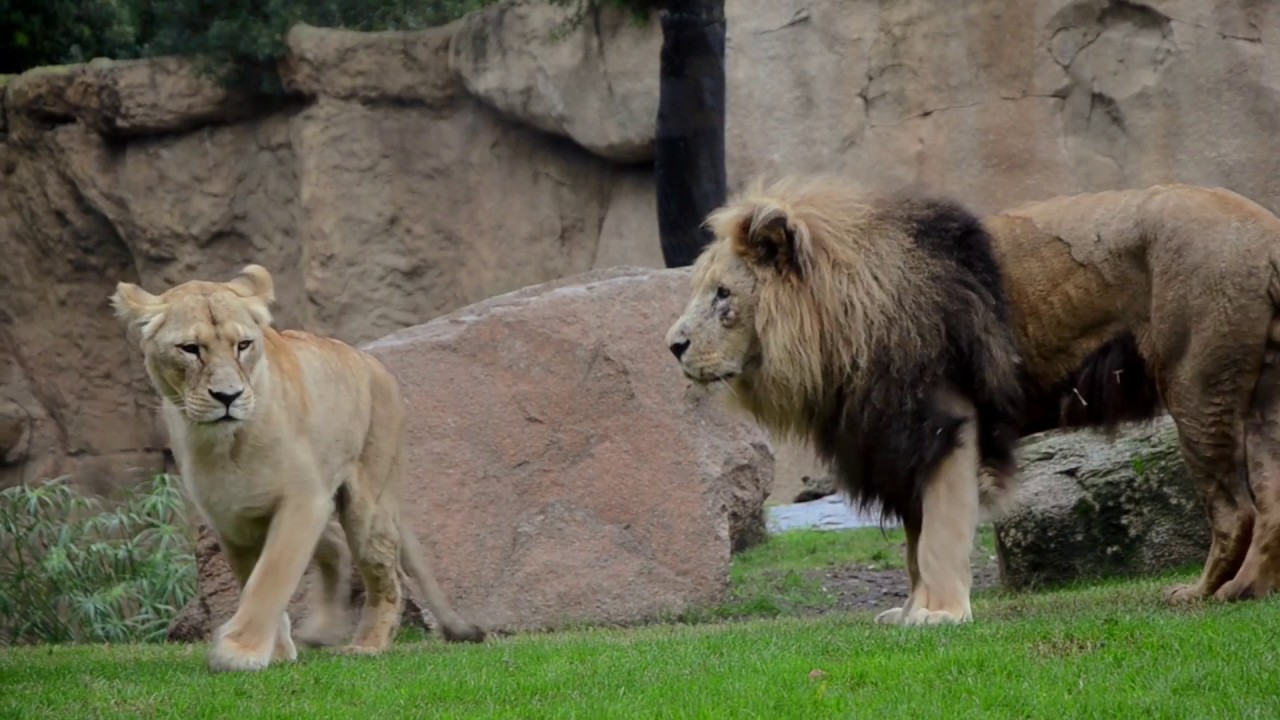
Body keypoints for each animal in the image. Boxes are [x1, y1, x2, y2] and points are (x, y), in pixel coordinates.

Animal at [106, 265, 481, 671]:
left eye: (243, 345)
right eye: (190, 349)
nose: (228, 396)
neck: (225, 444)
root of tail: (373, 363)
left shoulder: (304, 500)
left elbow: (271, 576)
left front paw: (240, 651)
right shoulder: (232, 517)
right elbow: (252, 580)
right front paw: (277, 650)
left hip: (368, 505)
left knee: (386, 574)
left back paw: (367, 645)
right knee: (337, 547)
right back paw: (321, 630)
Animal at [665, 175, 1024, 622]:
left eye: (723, 294)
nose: (673, 346)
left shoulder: (943, 418)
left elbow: (939, 533)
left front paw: (941, 615)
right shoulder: (892, 441)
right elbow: (915, 540)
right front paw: (908, 614)